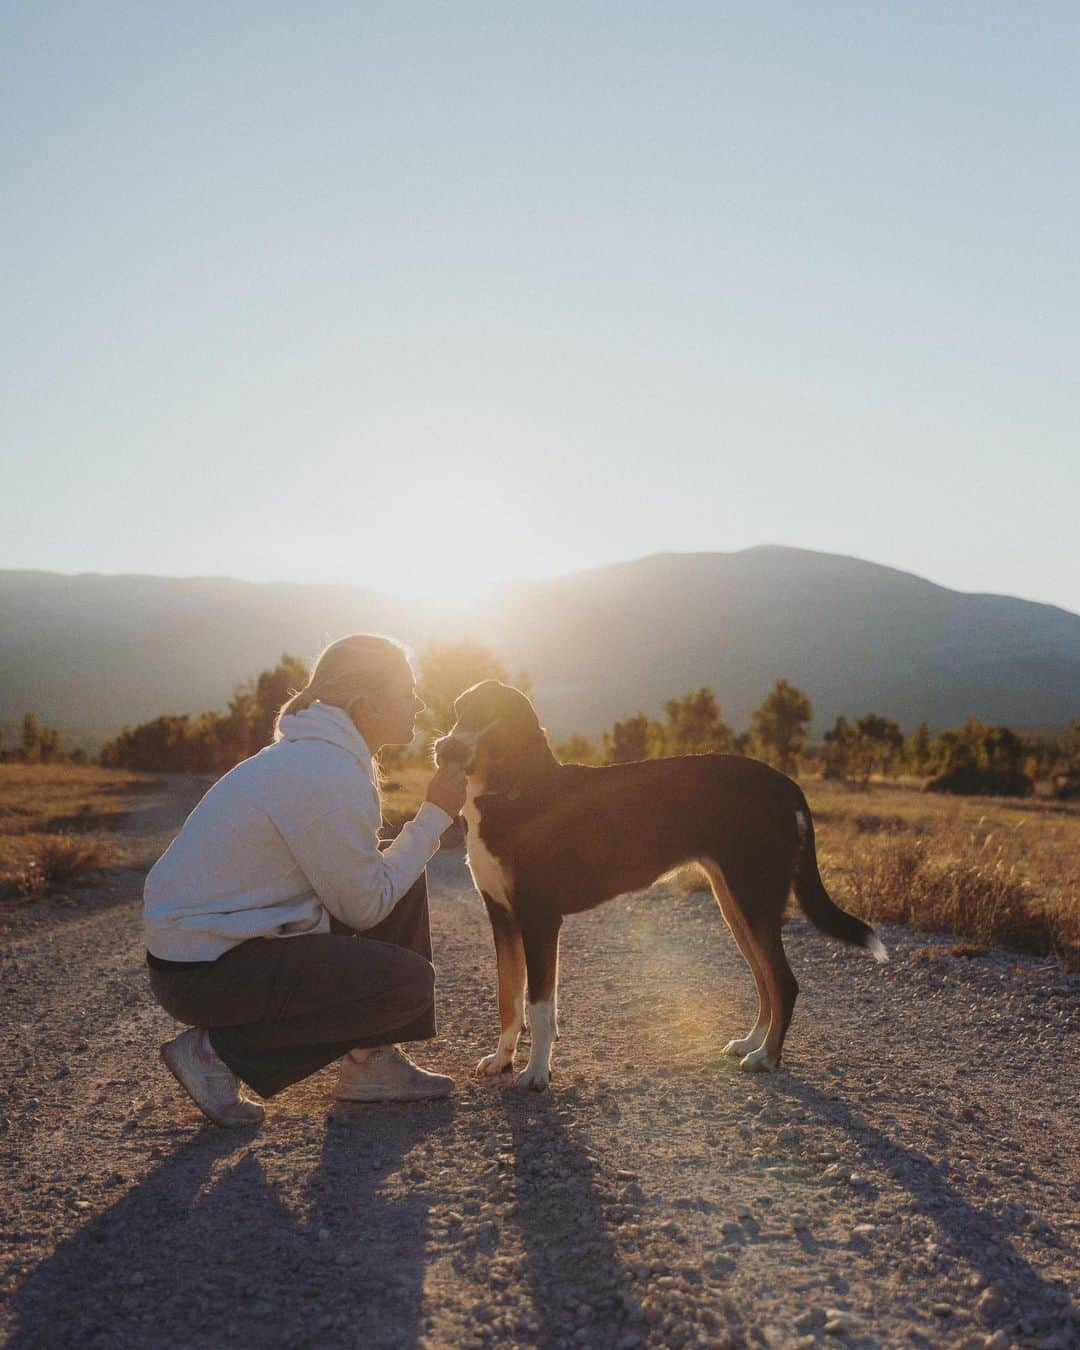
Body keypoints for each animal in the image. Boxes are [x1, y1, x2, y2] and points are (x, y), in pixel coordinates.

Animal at [434, 680, 891, 1090]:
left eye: (499, 729)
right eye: (463, 711)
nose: (446, 748)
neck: (508, 794)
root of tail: (786, 784)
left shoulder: (540, 919)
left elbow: (538, 1007)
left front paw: (536, 1073)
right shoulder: (502, 916)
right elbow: (508, 997)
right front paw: (501, 1059)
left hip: (753, 900)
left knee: (783, 982)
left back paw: (767, 1058)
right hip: (734, 903)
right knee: (765, 981)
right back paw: (751, 1043)